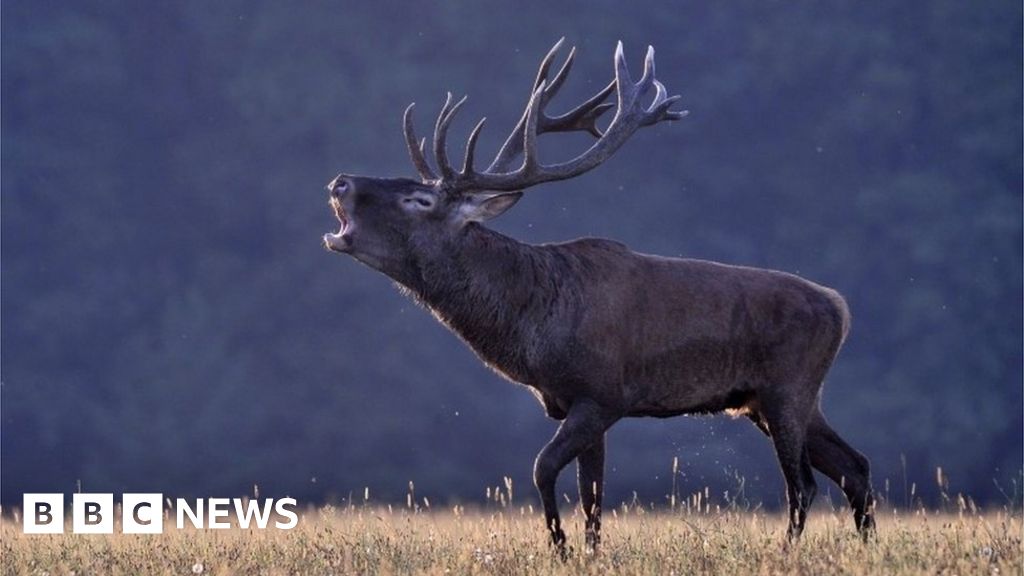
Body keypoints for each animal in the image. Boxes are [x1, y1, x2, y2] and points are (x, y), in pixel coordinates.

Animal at [323, 39, 875, 553]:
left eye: (420, 199)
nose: (340, 181)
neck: (531, 328)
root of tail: (841, 307)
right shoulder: (579, 403)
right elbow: (593, 495)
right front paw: (587, 550)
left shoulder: (602, 392)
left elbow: (543, 468)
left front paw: (561, 546)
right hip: (777, 398)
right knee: (855, 466)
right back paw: (866, 545)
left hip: (788, 387)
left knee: (804, 484)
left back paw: (788, 549)